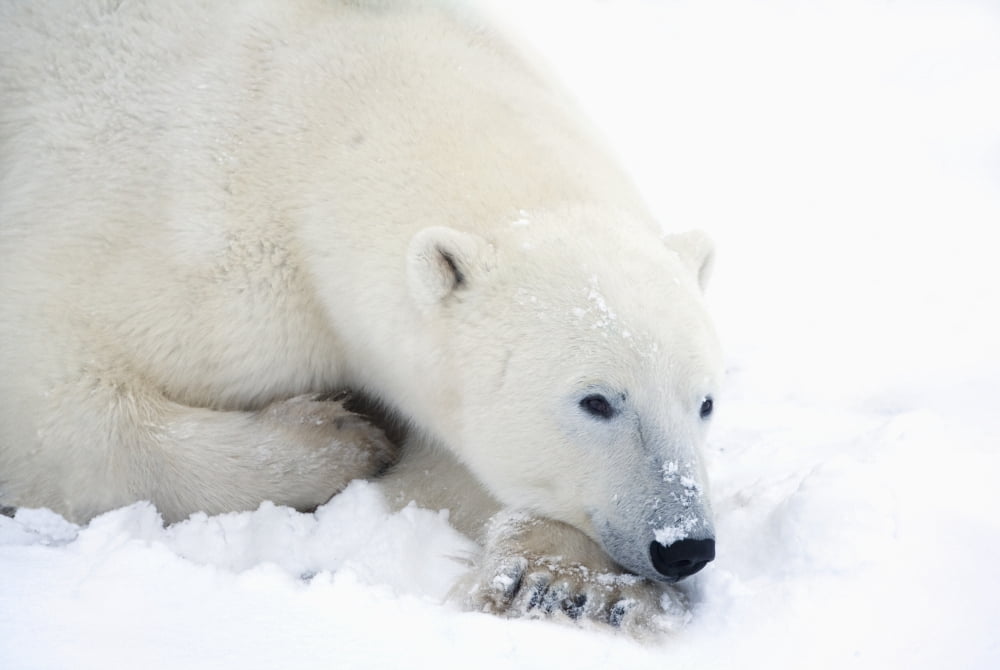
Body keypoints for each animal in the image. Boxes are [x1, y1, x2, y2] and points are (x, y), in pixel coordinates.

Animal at [0, 0, 722, 632]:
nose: (684, 545)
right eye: (596, 400)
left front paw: (569, 583)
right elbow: (52, 400)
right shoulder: (185, 238)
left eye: (706, 403)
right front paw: (339, 435)